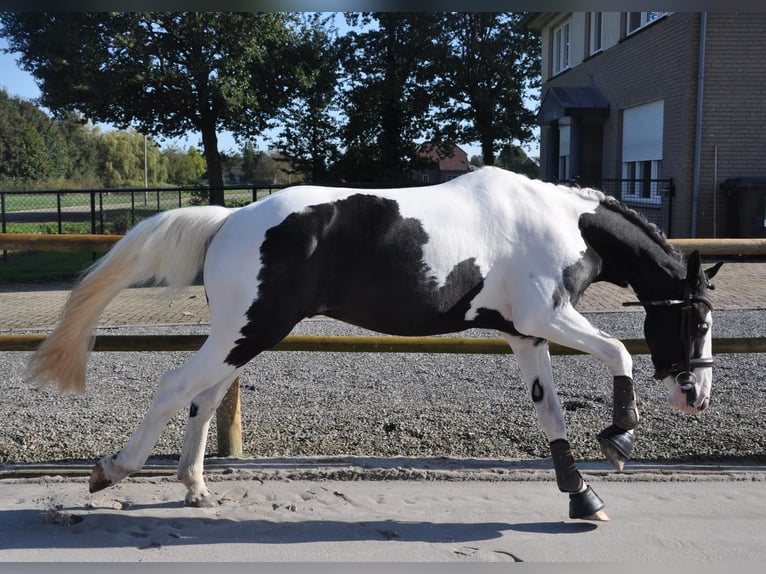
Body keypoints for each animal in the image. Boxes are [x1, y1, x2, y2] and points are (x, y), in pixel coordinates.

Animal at [28, 166, 728, 520]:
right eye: (698, 321)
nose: (696, 395)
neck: (559, 224)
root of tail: (231, 219)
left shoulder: (526, 333)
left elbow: (551, 413)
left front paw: (582, 496)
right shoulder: (549, 317)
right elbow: (620, 352)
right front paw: (619, 438)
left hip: (242, 335)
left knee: (202, 399)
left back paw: (195, 488)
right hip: (248, 329)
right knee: (177, 387)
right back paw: (113, 470)